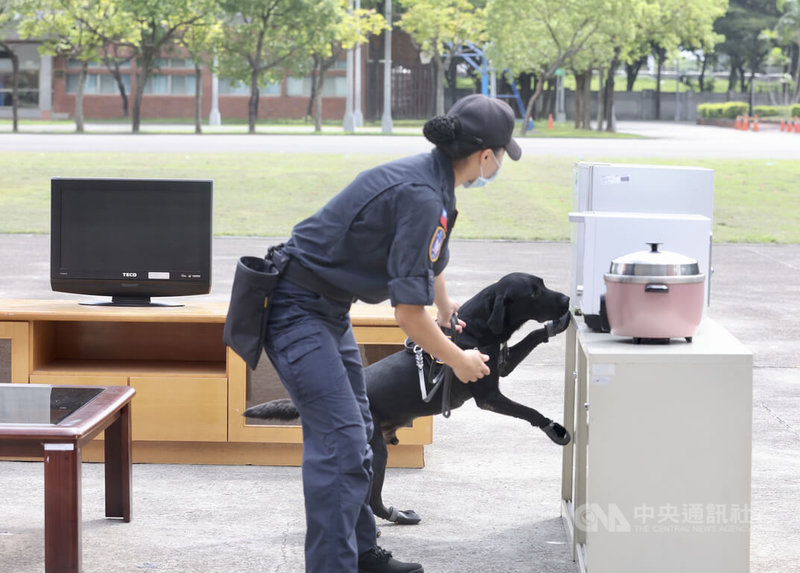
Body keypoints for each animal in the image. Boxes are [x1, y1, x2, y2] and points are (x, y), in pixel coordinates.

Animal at [244, 272, 568, 524]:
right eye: (534, 292)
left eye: (542, 284)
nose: (566, 300)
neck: (476, 328)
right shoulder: (488, 395)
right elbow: (529, 411)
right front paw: (553, 428)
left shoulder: (501, 365)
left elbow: (530, 338)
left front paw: (553, 327)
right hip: (378, 453)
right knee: (371, 501)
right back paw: (395, 516)